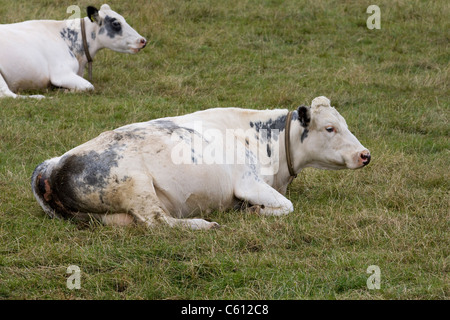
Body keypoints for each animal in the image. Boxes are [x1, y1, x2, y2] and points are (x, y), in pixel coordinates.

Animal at [30, 96, 370, 229]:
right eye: (330, 128)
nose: (365, 154)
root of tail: (50, 169)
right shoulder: (248, 182)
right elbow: (287, 206)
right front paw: (255, 211)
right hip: (135, 185)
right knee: (158, 221)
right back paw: (204, 224)